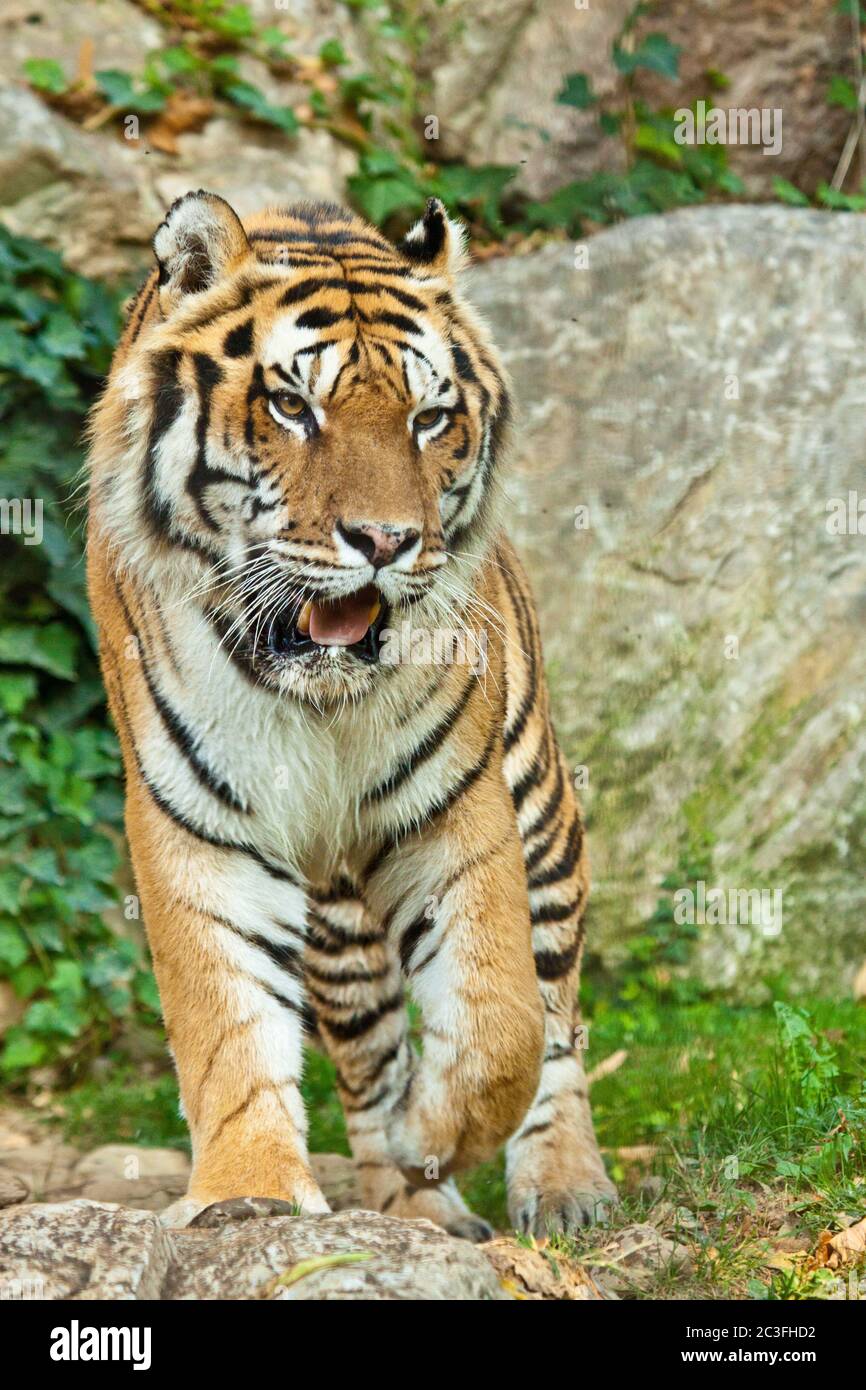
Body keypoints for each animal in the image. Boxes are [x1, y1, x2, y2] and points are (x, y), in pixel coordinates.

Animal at [85, 189, 616, 1239]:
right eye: (293, 406)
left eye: (429, 417)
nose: (384, 540)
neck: (317, 699)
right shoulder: (195, 823)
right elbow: (225, 1027)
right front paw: (248, 1193)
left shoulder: (459, 808)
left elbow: (501, 1020)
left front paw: (439, 1130)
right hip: (334, 923)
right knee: (369, 1064)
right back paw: (413, 1205)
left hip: (541, 809)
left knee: (555, 1016)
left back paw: (563, 1185)